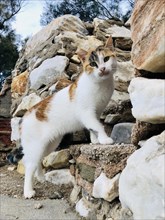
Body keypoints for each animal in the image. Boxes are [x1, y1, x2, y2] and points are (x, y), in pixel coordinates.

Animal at [21, 35, 117, 198]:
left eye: (106, 59)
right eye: (93, 64)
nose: (102, 69)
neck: (100, 85)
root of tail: (26, 114)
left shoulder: (95, 113)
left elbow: (93, 127)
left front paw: (95, 140)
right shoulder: (87, 112)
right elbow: (98, 126)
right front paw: (104, 139)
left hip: (49, 144)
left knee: (38, 161)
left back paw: (41, 177)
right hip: (35, 146)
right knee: (29, 166)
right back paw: (28, 191)